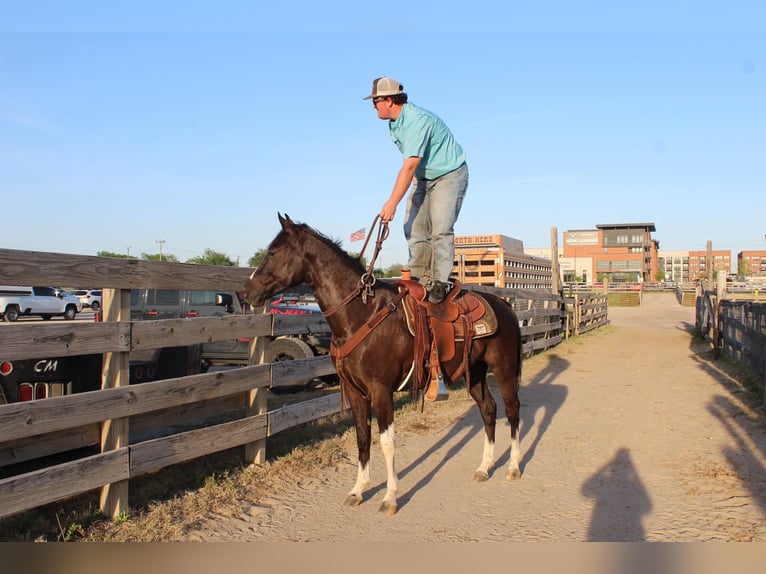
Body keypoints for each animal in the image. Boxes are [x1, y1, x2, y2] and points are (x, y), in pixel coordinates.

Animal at [244, 214, 522, 515]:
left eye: (273, 252)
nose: (248, 291)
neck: (361, 314)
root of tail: (504, 305)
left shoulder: (381, 391)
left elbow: (387, 442)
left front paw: (389, 497)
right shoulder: (354, 392)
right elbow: (363, 437)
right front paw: (357, 490)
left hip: (504, 369)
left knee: (512, 410)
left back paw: (513, 466)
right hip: (476, 373)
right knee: (489, 410)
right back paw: (484, 468)